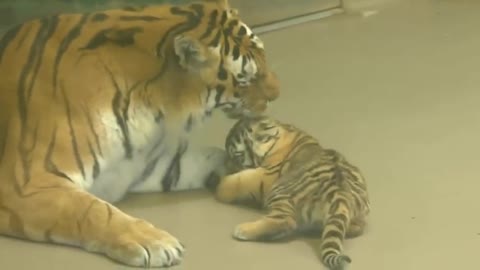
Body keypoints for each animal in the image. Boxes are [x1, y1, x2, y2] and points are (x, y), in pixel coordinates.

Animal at [0, 0, 280, 268]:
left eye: (264, 54)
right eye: (245, 79)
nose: (277, 94)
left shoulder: (143, 166)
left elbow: (212, 159)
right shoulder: (25, 185)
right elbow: (93, 209)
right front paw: (153, 242)